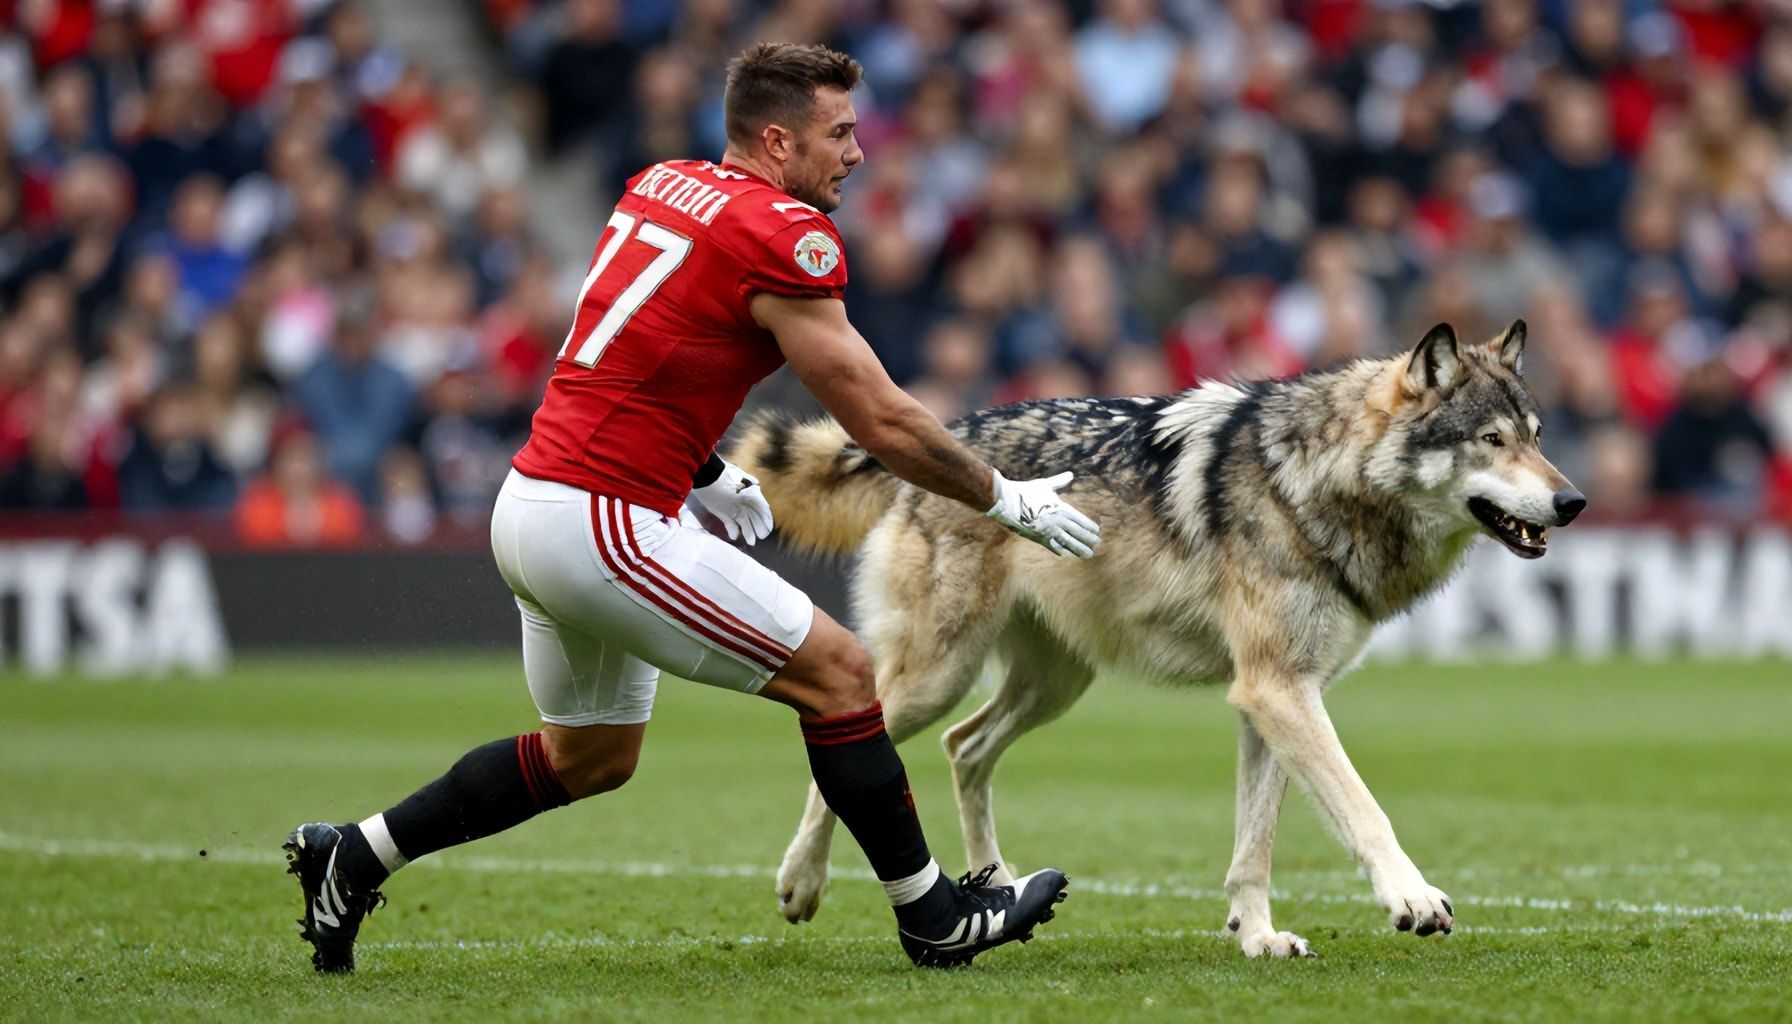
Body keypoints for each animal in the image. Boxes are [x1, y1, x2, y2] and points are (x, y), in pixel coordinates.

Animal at [729, 320, 1584, 959]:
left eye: (1538, 436)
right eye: (1491, 440)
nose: (1573, 500)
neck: (1316, 479)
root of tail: (950, 428)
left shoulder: (1272, 697)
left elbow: (1255, 844)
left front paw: (1258, 937)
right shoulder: (1278, 691)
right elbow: (1364, 809)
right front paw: (1412, 898)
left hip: (1050, 687)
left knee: (963, 748)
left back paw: (997, 884)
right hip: (940, 674)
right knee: (853, 746)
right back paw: (802, 884)